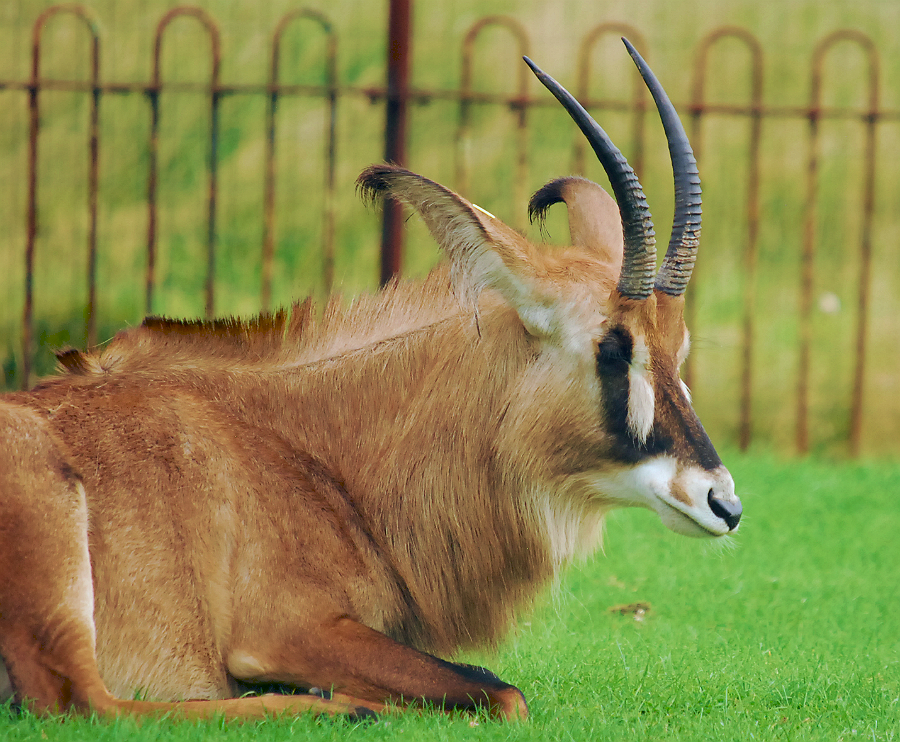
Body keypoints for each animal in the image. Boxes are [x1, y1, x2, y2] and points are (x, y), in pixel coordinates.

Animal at [0, 39, 740, 723]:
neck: (320, 457)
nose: (724, 504)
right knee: (84, 700)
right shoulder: (287, 629)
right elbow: (503, 693)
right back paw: (343, 704)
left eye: (678, 349)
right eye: (613, 349)